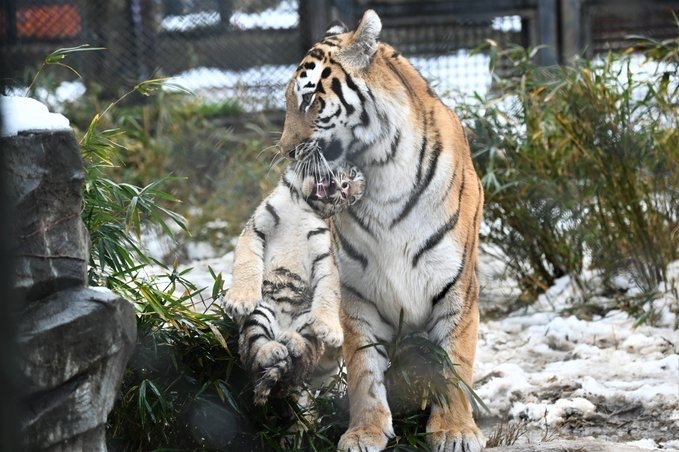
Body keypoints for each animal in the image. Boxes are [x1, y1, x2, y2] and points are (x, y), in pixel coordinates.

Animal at [226, 161, 366, 404]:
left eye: (352, 199)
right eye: (349, 173)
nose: (345, 190)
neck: (302, 203)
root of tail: (282, 328)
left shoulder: (325, 256)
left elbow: (329, 291)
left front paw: (331, 330)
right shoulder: (254, 231)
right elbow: (247, 263)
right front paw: (239, 302)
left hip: (307, 321)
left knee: (303, 363)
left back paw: (292, 342)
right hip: (260, 314)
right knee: (255, 360)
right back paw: (274, 350)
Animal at [278, 7, 488, 452]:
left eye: (309, 98)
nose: (286, 151)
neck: (382, 176)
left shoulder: (457, 287)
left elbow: (454, 362)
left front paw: (455, 430)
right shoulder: (356, 293)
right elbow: (363, 371)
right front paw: (364, 433)